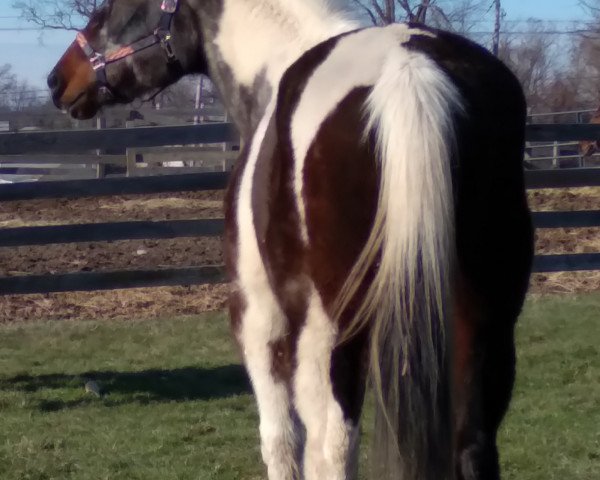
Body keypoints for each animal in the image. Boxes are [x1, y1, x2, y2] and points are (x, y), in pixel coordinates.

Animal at [48, 1, 536, 478]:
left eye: (111, 10)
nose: (58, 80)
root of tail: (410, 68)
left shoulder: (258, 317)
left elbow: (281, 441)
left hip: (328, 331)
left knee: (331, 447)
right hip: (485, 323)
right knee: (473, 447)